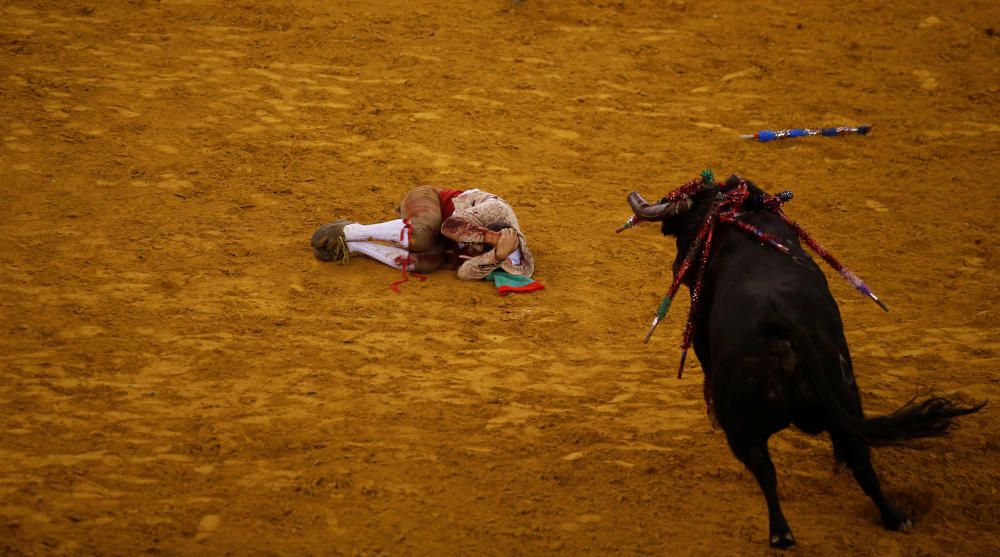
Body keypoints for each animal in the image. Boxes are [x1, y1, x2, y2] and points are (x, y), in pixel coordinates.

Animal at [632, 177, 984, 548]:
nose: (676, 267)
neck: (743, 221)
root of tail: (780, 325)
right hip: (843, 396)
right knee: (856, 461)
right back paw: (891, 518)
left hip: (745, 426)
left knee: (771, 471)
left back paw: (783, 531)